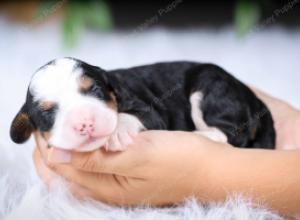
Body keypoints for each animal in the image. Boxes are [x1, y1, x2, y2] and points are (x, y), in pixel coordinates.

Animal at [9, 57, 276, 152]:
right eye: (48, 114)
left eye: (95, 90)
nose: (86, 123)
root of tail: (253, 97)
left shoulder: (149, 109)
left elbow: (130, 116)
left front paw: (116, 132)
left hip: (209, 86)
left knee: (230, 134)